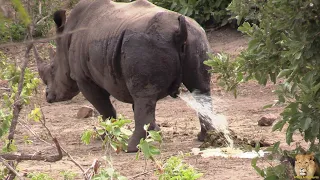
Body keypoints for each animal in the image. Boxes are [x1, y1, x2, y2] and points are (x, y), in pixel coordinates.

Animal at [34, 0, 215, 153]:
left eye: (52, 68)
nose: (48, 96)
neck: (66, 38)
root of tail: (179, 31)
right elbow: (137, 108)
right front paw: (154, 133)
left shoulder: (84, 79)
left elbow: (105, 108)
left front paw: (106, 136)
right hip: (196, 37)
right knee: (200, 89)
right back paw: (206, 138)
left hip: (145, 44)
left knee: (144, 96)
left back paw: (132, 148)